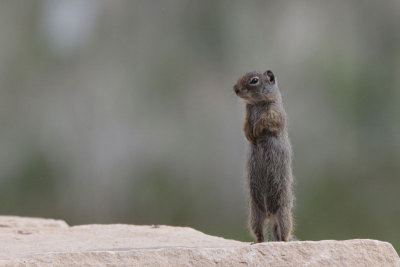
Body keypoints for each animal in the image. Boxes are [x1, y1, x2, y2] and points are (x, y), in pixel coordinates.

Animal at [234, 70, 294, 244]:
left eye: (254, 80)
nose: (235, 89)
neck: (256, 103)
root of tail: (270, 216)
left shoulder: (275, 113)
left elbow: (266, 122)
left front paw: (256, 130)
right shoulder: (247, 115)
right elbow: (245, 126)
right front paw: (250, 135)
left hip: (283, 215)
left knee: (284, 233)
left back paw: (284, 242)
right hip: (255, 216)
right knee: (259, 233)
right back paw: (256, 242)